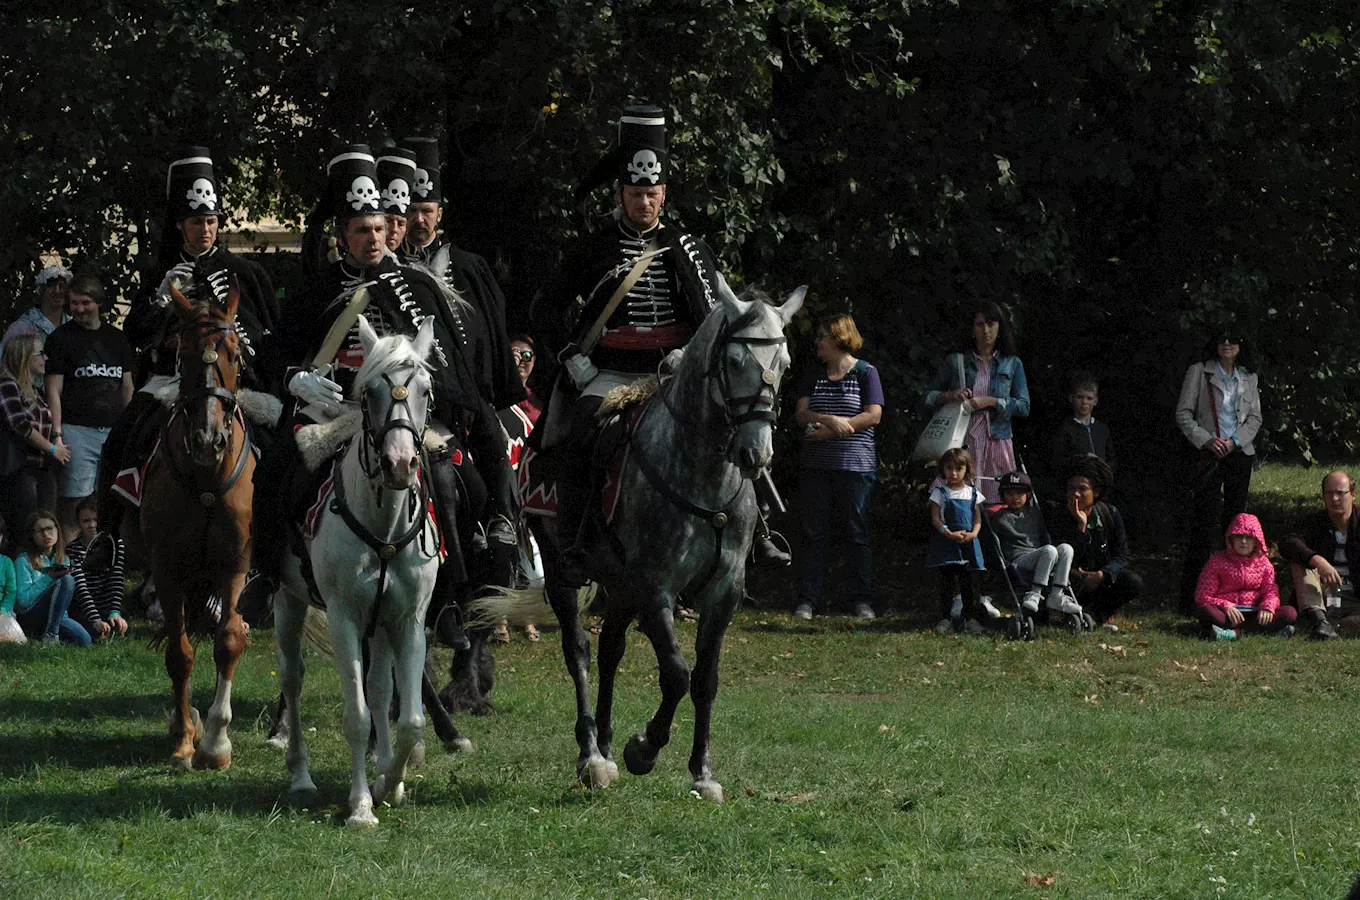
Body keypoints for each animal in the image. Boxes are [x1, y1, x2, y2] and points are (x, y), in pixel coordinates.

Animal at [273, 319, 443, 832]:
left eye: (425, 390)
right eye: (369, 392)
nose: (400, 464)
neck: (381, 524)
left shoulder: (407, 621)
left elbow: (409, 719)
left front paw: (391, 781)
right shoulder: (344, 619)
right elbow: (356, 716)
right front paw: (362, 805)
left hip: (381, 623)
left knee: (382, 688)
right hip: (288, 601)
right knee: (293, 678)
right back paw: (301, 775)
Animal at [473, 282, 799, 804]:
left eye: (784, 363)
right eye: (733, 362)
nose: (755, 453)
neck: (701, 476)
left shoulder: (722, 591)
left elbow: (705, 680)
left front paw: (702, 772)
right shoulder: (655, 587)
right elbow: (676, 674)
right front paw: (643, 748)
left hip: (619, 585)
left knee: (610, 650)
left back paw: (604, 745)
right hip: (565, 574)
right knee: (580, 653)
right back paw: (591, 756)